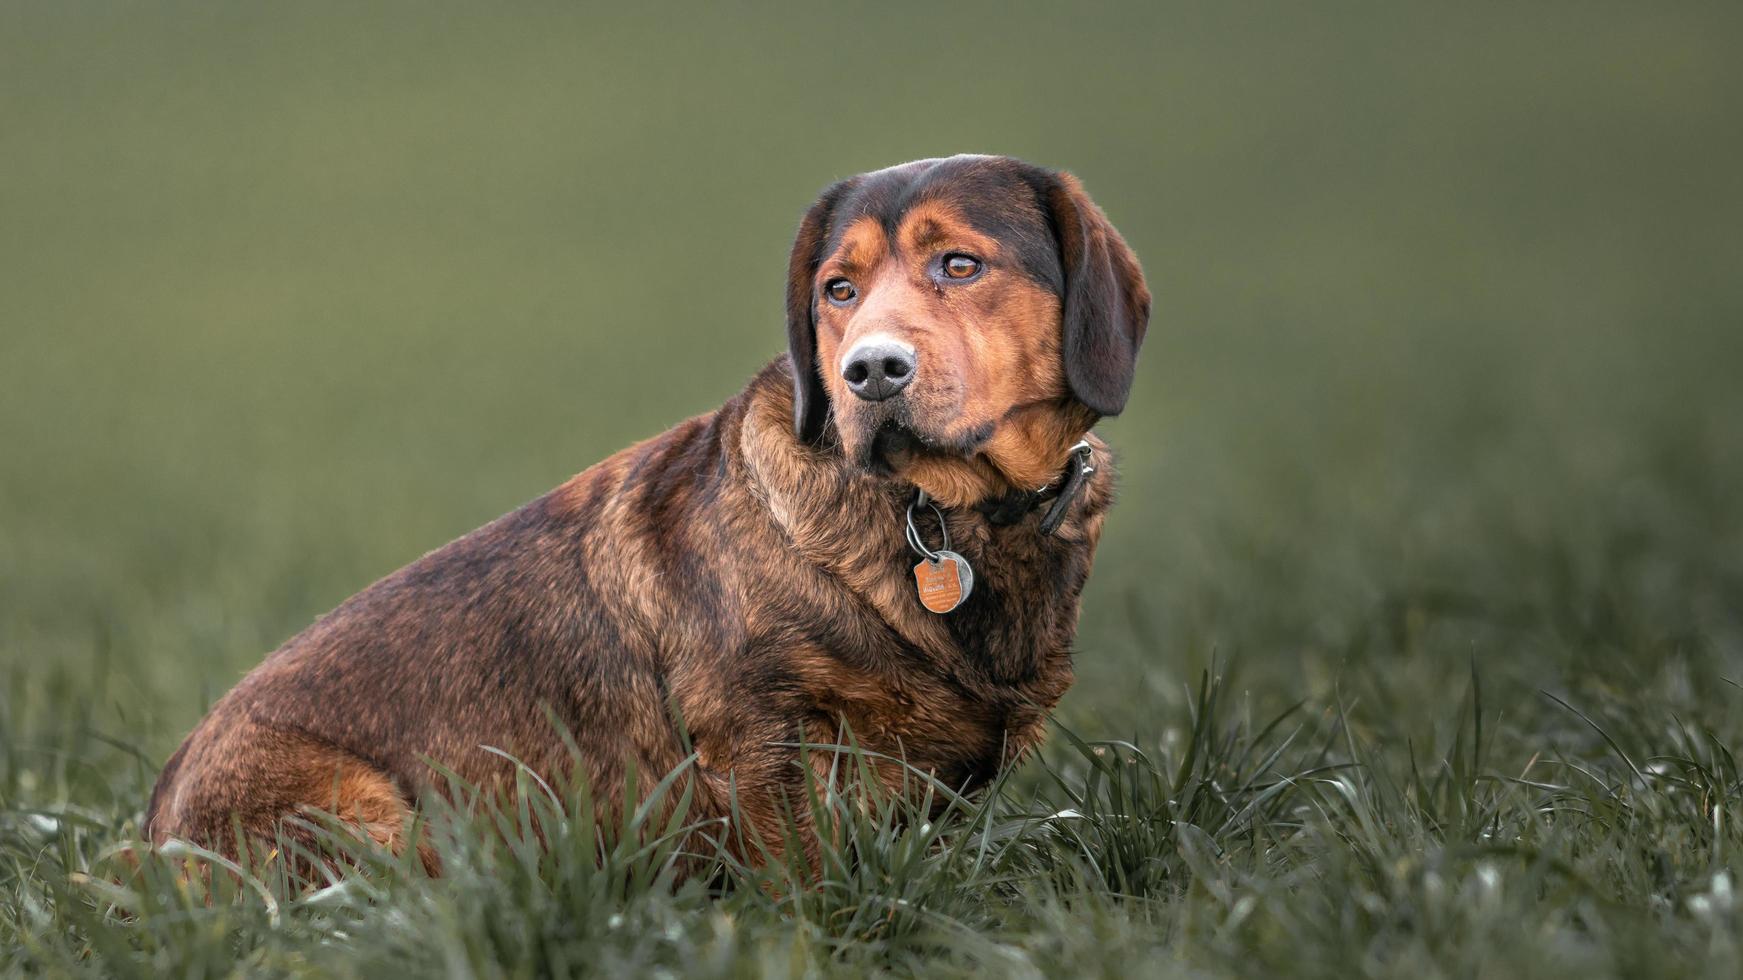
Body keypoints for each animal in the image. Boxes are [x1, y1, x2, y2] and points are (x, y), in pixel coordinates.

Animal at [146, 150, 1143, 868]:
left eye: (960, 264)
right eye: (839, 290)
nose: (869, 370)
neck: (941, 512)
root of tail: (148, 839)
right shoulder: (757, 739)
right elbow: (803, 881)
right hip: (366, 820)